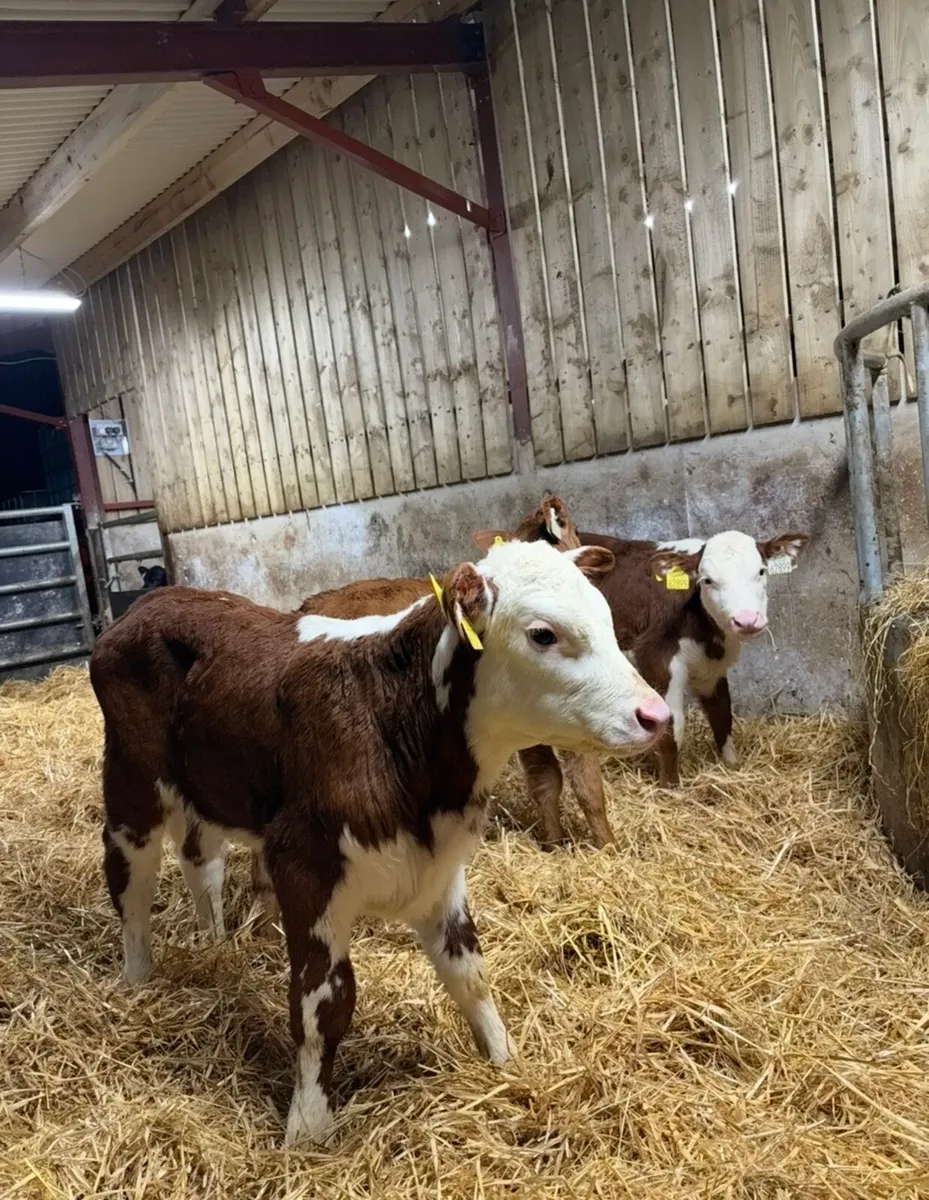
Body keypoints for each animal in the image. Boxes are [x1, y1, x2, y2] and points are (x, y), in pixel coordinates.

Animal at [90, 538, 670, 1145]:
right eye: (543, 634)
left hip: (206, 787)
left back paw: (215, 945)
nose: (655, 715)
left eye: (604, 617)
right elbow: (324, 1003)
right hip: (131, 784)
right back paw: (137, 980)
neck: (394, 722)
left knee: (201, 860)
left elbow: (471, 974)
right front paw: (306, 1129)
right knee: (130, 879)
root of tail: (150, 602)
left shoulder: (439, 868)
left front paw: (507, 1061)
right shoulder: (304, 867)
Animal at [472, 514, 808, 846]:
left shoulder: (711, 670)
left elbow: (722, 715)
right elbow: (673, 727)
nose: (747, 620)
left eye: (761, 571)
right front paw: (671, 787)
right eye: (708, 580)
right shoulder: (657, 658)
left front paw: (732, 767)